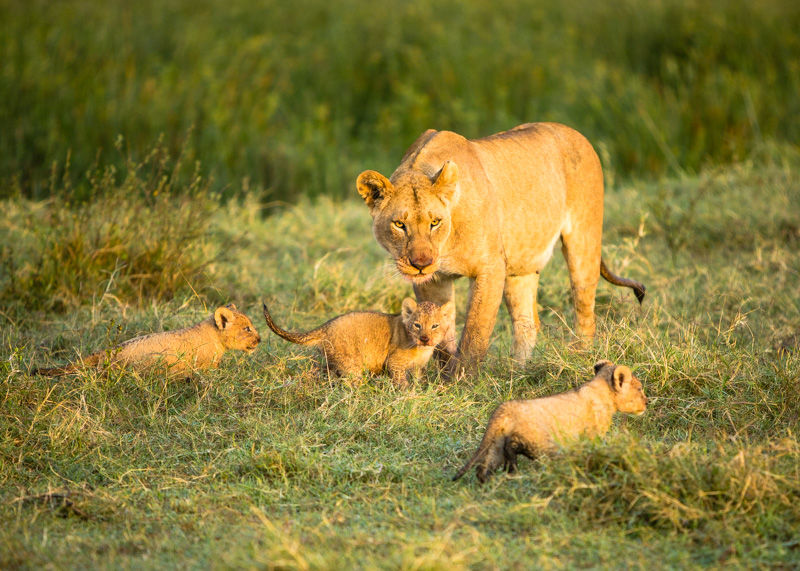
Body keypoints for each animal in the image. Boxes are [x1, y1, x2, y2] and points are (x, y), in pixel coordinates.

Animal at [262, 297, 454, 385]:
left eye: (435, 325)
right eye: (417, 325)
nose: (425, 338)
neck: (422, 349)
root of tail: (325, 327)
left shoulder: (418, 367)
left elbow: (417, 379)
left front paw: (419, 389)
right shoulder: (394, 362)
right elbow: (401, 382)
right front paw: (407, 395)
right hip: (351, 365)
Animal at [356, 123, 646, 374]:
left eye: (434, 222)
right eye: (399, 224)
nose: (420, 264)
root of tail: (576, 133)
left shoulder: (490, 268)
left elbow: (475, 332)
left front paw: (461, 382)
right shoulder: (434, 280)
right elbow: (440, 332)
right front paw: (443, 378)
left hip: (583, 242)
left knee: (585, 311)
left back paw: (580, 359)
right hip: (520, 267)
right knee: (527, 322)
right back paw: (517, 372)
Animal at [451, 360, 647, 483]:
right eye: (639, 388)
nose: (647, 402)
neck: (601, 392)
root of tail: (503, 409)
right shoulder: (592, 435)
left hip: (495, 445)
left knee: (483, 468)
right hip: (538, 440)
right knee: (513, 448)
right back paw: (515, 471)